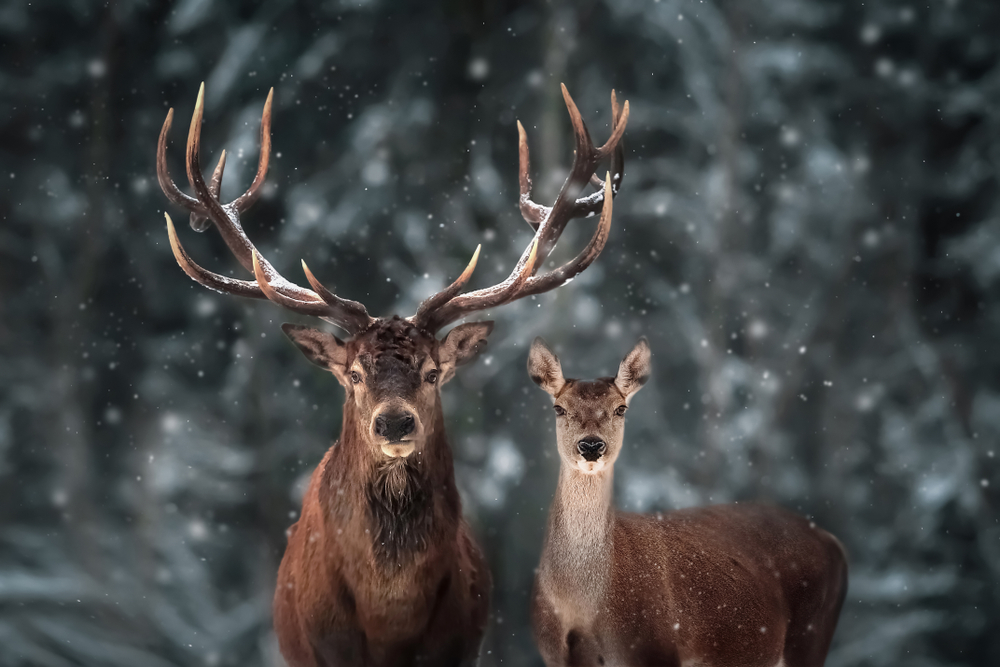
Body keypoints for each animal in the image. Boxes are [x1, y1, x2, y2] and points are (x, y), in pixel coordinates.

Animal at [527, 337, 848, 667]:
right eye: (559, 408)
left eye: (620, 408)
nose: (591, 445)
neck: (582, 606)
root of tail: (833, 541)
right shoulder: (555, 656)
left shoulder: (655, 649)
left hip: (811, 634)